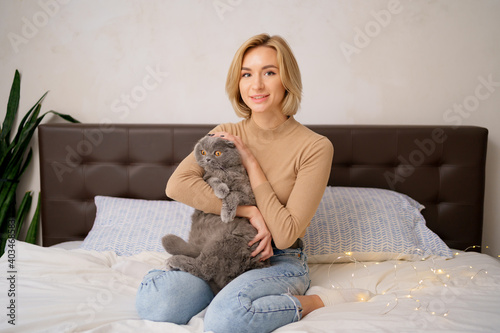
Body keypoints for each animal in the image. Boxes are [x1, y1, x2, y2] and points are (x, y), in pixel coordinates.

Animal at [162, 134, 270, 294]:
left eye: (217, 153)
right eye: (203, 152)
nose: (207, 159)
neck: (225, 173)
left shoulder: (250, 196)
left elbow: (234, 195)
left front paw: (227, 213)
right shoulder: (206, 178)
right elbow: (212, 180)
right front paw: (222, 190)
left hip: (224, 239)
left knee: (204, 269)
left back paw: (173, 261)